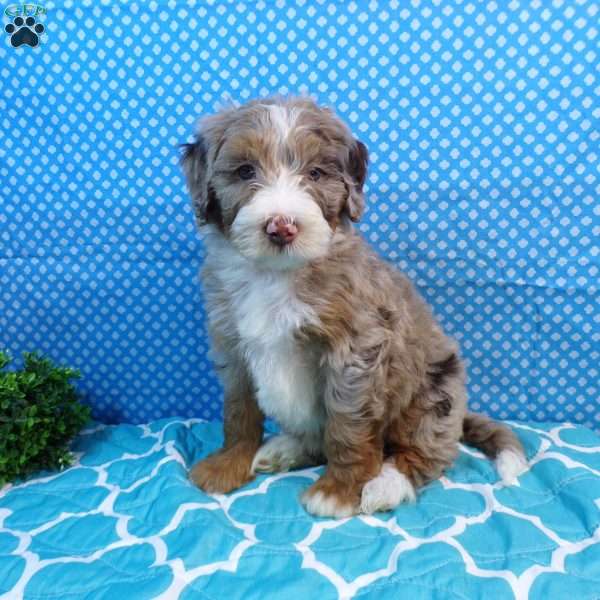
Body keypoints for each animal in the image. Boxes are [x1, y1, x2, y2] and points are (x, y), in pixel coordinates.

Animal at [180, 96, 528, 516]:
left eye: (315, 173)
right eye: (245, 171)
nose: (281, 227)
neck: (275, 275)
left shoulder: (355, 352)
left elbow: (347, 427)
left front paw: (338, 490)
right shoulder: (232, 347)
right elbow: (239, 411)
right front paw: (229, 463)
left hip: (435, 398)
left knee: (427, 453)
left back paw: (386, 484)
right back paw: (283, 450)